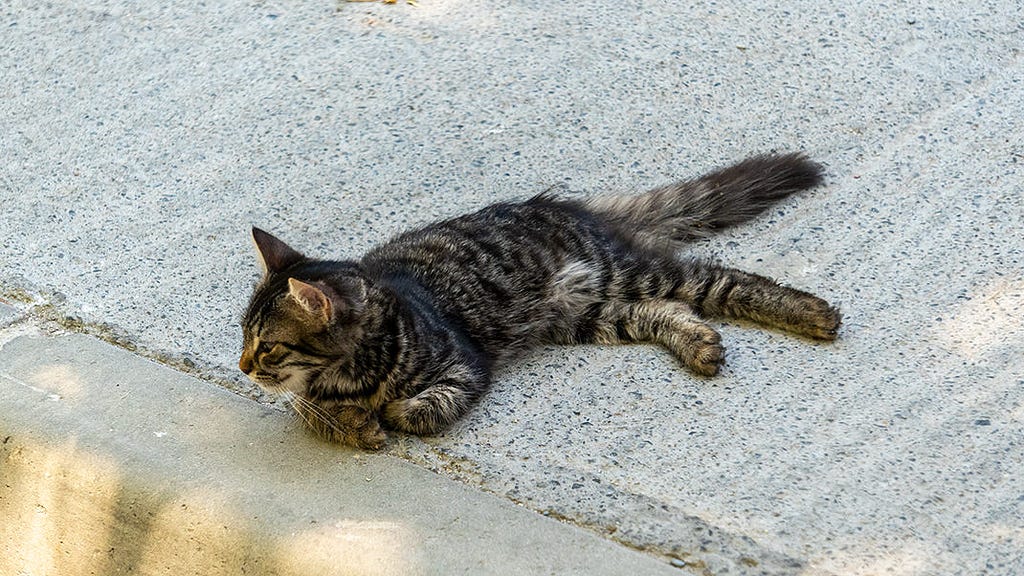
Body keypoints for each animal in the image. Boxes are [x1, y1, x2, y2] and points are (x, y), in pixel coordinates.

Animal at [237, 152, 839, 448]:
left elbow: (425, 411)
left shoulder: (465, 367)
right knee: (665, 312)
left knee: (716, 279)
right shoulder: (310, 399)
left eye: (268, 347)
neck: (348, 373)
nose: (241, 366)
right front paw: (354, 424)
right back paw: (700, 345)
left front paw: (391, 412)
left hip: (624, 277)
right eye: (243, 337)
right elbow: (317, 416)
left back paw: (811, 312)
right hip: (593, 314)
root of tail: (566, 207)